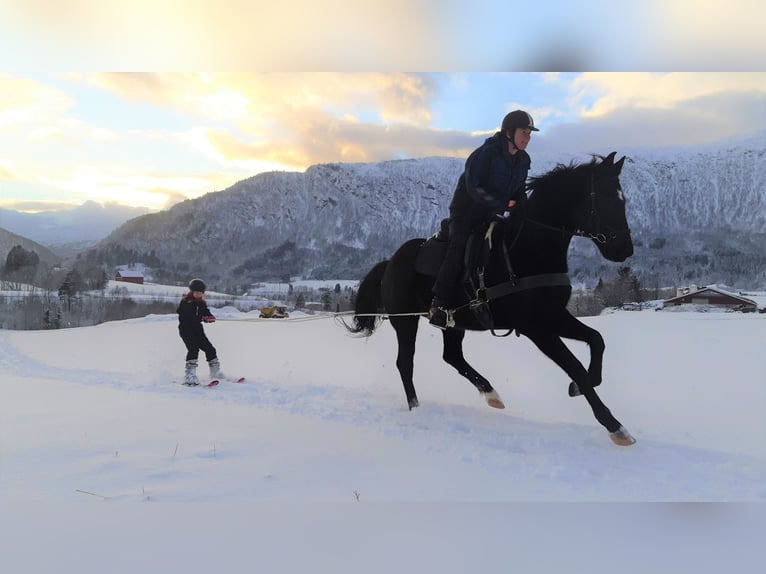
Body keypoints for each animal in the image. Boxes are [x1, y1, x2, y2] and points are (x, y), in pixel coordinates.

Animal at [348, 152, 636, 446]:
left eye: (622, 199)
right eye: (605, 198)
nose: (625, 248)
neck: (527, 250)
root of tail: (389, 262)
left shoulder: (555, 316)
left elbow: (597, 341)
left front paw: (579, 387)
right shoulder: (536, 328)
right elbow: (575, 366)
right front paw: (614, 426)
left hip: (453, 322)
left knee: (452, 357)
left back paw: (491, 394)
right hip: (405, 321)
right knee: (405, 363)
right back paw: (416, 407)